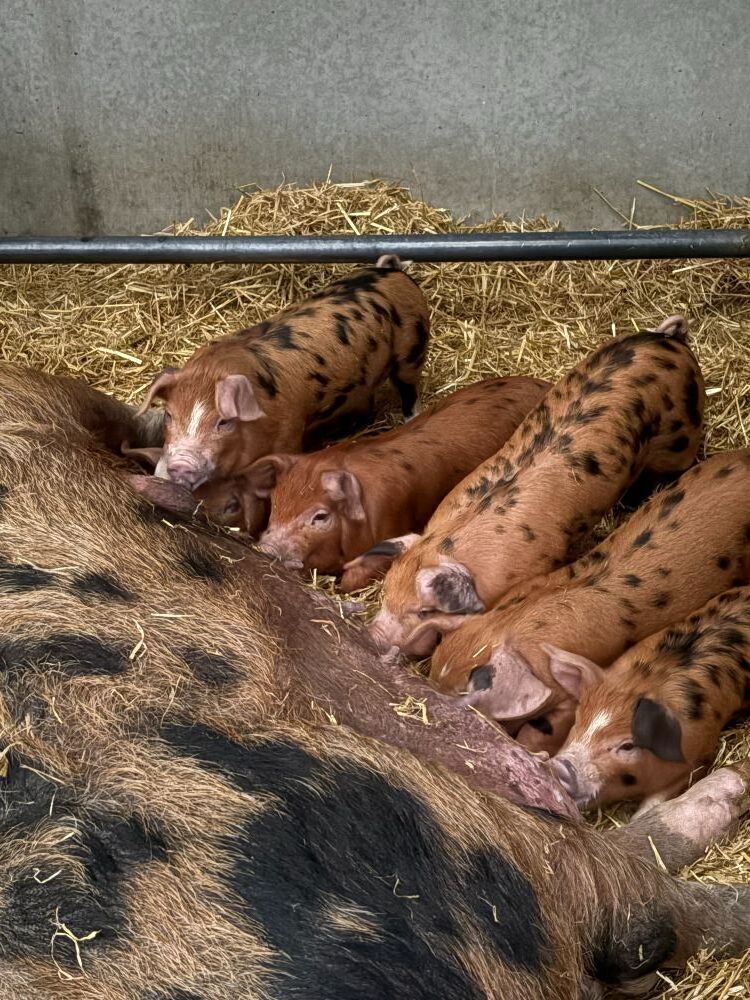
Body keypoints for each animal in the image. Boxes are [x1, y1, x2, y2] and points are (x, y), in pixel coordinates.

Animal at [137, 255, 430, 490]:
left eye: (224, 422)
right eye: (169, 415)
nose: (180, 464)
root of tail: (392, 272)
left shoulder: (288, 435)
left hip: (412, 352)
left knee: (409, 393)